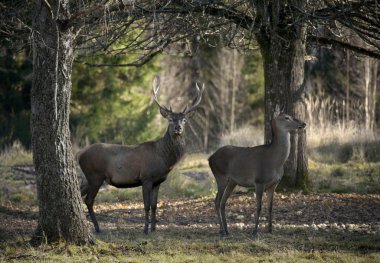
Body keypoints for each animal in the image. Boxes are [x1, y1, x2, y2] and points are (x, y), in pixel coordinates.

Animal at [78, 79, 203, 234]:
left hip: (88, 178)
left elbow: (155, 205)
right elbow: (146, 205)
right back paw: (97, 227)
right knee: (88, 200)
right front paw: (145, 229)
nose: (178, 128)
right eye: (170, 119)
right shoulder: (146, 178)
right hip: (95, 176)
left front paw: (154, 228)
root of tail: (80, 155)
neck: (164, 159)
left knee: (79, 193)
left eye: (184, 120)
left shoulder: (158, 181)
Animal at [206, 106, 308, 238]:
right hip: (220, 176)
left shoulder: (274, 184)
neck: (275, 162)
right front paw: (254, 232)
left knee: (223, 202)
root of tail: (210, 158)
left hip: (232, 181)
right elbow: (258, 207)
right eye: (287, 117)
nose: (303, 123)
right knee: (217, 201)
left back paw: (227, 230)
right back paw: (222, 230)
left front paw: (270, 229)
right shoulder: (259, 180)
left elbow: (270, 207)